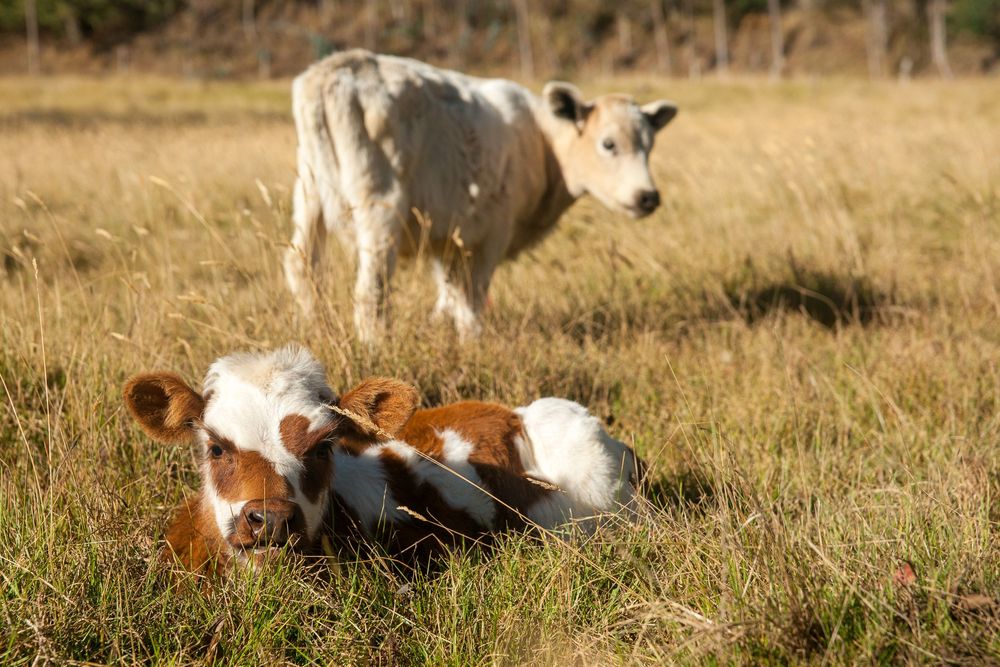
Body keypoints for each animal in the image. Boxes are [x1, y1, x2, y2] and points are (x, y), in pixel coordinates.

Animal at [283, 49, 678, 342]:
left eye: (650, 145)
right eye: (608, 144)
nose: (648, 196)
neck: (541, 143)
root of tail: (336, 68)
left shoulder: (446, 238)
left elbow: (449, 292)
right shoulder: (489, 234)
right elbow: (470, 297)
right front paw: (472, 342)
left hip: (309, 193)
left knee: (304, 266)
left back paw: (314, 331)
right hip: (380, 205)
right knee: (372, 289)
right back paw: (375, 346)